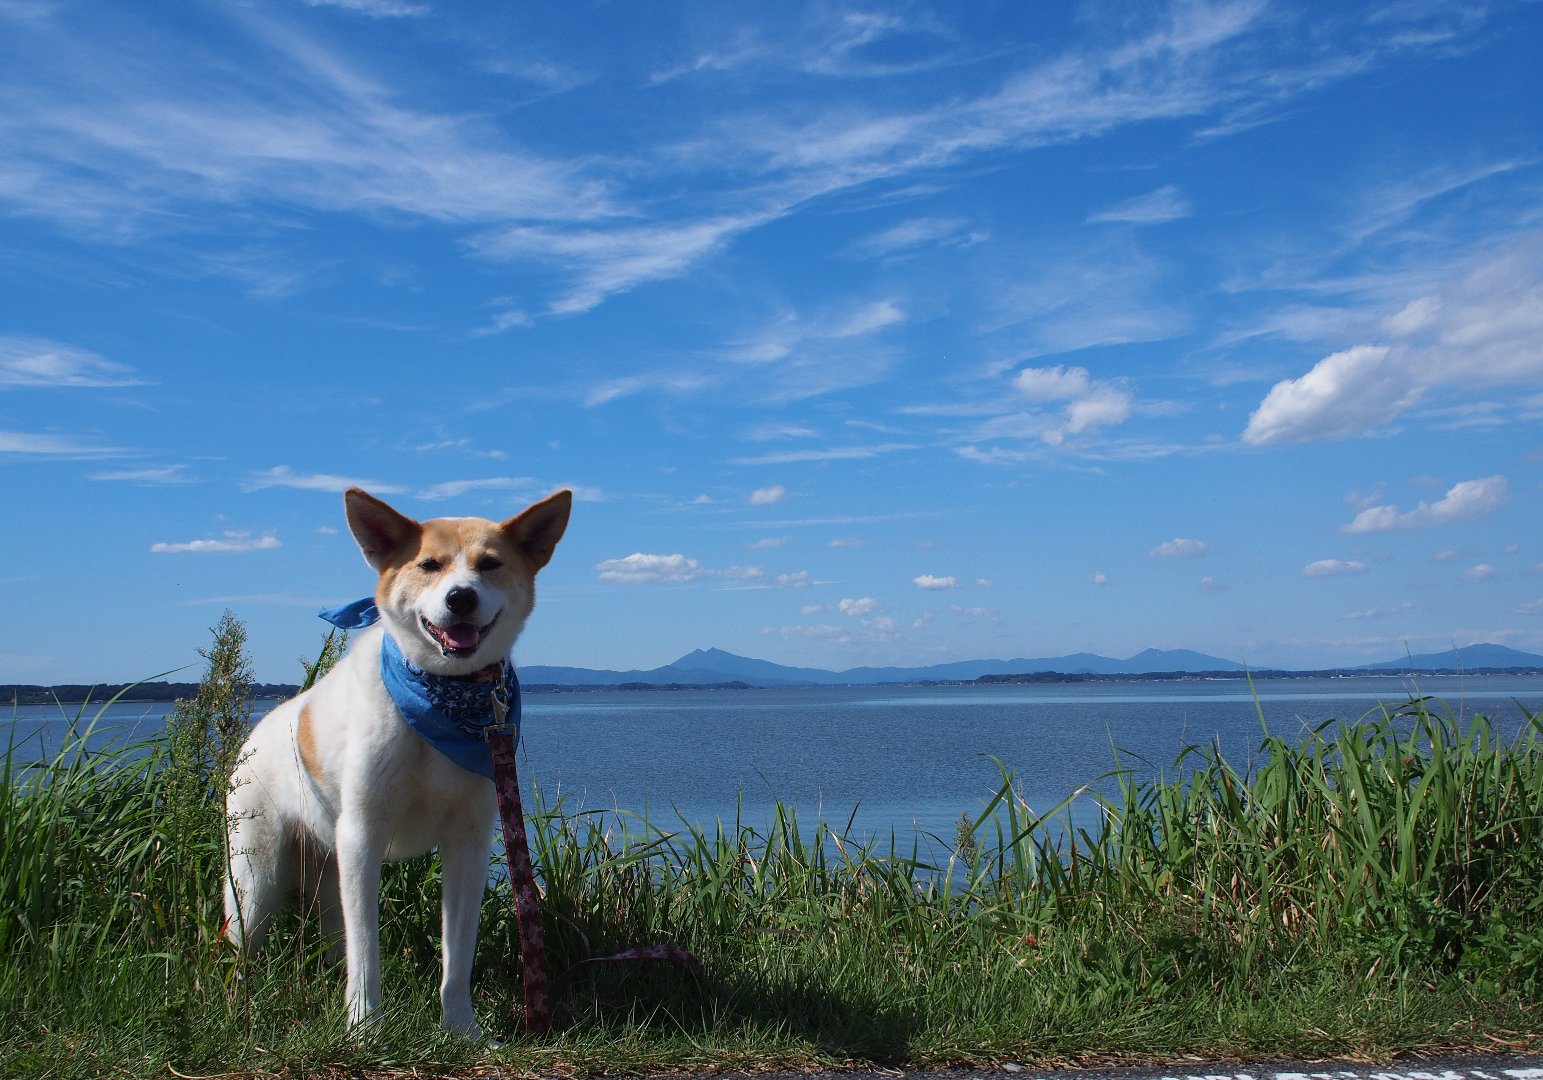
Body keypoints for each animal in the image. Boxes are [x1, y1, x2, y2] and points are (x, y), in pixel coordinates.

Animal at [222, 487, 573, 1036]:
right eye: (429, 565)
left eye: (489, 564)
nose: (461, 597)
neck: (441, 694)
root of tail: (253, 736)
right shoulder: (363, 836)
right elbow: (367, 953)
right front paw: (365, 1029)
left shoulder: (469, 844)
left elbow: (457, 955)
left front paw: (461, 1030)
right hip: (256, 879)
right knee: (243, 952)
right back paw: (239, 1012)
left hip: (327, 873)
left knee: (333, 942)